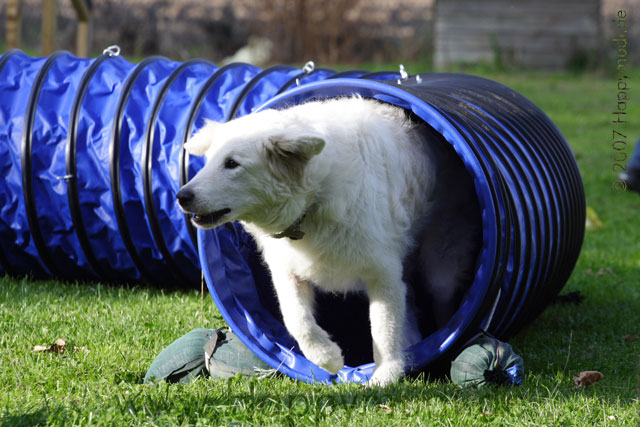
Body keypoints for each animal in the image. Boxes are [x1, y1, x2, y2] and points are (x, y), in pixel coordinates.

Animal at [178, 97, 478, 388]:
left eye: (232, 163)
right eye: (207, 162)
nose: (181, 196)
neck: (313, 201)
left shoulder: (383, 275)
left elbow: (384, 328)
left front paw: (384, 375)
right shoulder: (288, 273)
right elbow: (296, 320)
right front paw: (328, 358)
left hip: (442, 266)